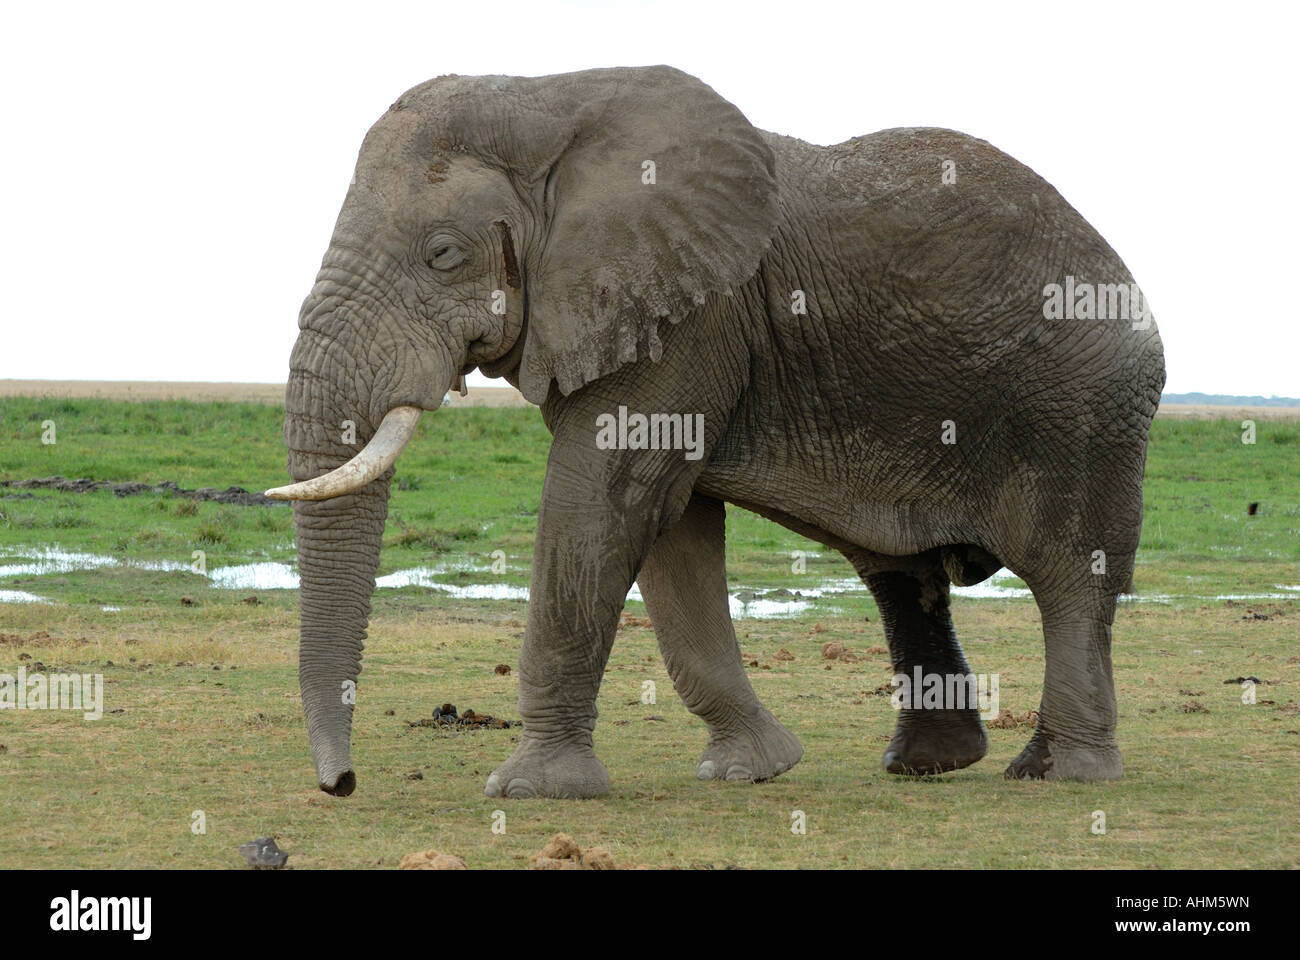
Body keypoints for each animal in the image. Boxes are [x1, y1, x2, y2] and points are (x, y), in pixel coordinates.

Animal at [266, 65, 1170, 801]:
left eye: (444, 254)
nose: (342, 784)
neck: (547, 99)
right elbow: (669, 527)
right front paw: (753, 769)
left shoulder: (697, 312)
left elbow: (601, 502)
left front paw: (530, 791)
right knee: (900, 569)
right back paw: (926, 766)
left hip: (1083, 408)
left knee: (1069, 574)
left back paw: (1058, 772)